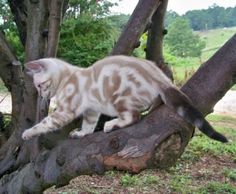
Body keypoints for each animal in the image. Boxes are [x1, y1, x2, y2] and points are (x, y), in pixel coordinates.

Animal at [21, 55, 227, 142]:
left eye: (39, 85)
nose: (41, 95)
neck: (66, 77)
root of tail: (159, 77)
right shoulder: (91, 110)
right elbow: (88, 126)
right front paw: (80, 134)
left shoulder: (65, 110)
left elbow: (44, 124)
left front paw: (26, 134)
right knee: (153, 104)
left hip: (120, 98)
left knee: (132, 117)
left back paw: (111, 125)